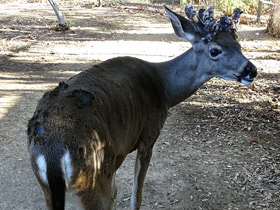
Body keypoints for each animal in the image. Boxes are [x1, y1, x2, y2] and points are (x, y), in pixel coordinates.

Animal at [27, 4, 258, 210]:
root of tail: (53, 150)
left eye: (238, 44)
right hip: (93, 178)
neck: (164, 89)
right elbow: (135, 197)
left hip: (47, 187)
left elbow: (121, 192)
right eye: (215, 50)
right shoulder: (148, 136)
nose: (251, 70)